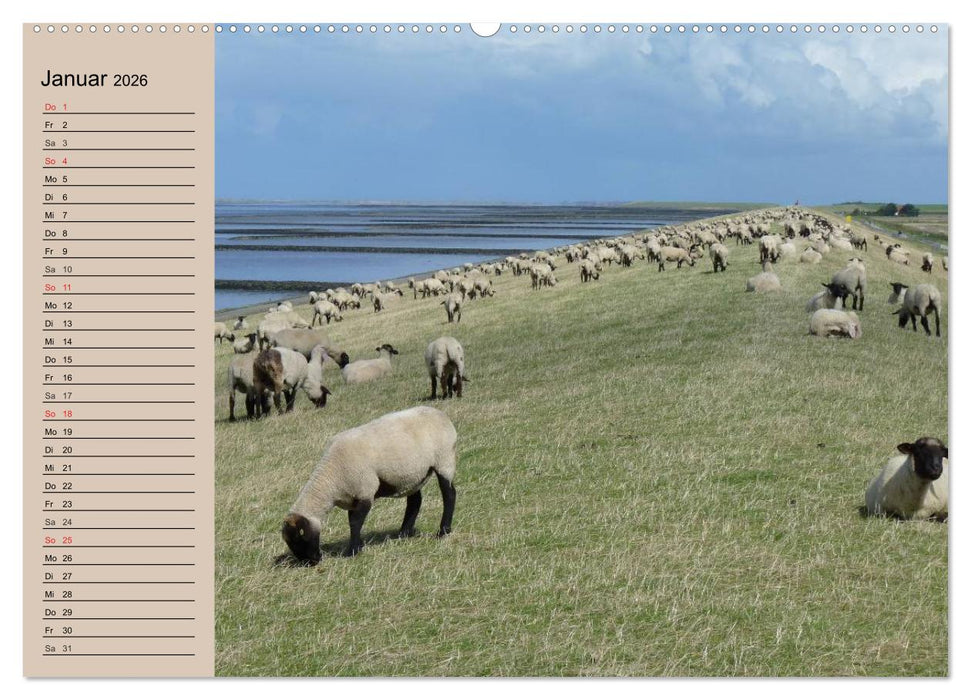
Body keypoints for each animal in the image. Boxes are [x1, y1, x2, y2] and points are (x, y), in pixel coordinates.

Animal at [281, 406, 458, 560]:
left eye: (299, 539)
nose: (311, 562)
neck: (331, 478)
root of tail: (442, 415)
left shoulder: (365, 490)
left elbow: (355, 522)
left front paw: (352, 551)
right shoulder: (352, 497)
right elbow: (352, 521)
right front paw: (358, 546)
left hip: (444, 460)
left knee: (449, 494)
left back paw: (443, 531)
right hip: (413, 475)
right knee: (415, 501)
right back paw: (404, 533)